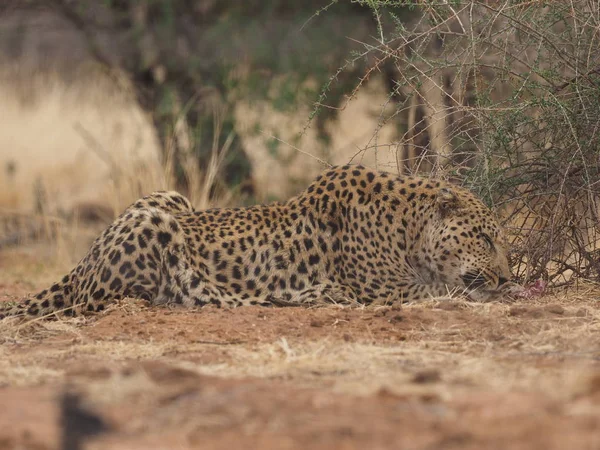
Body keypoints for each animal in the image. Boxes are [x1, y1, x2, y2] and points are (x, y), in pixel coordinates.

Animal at [0, 166, 516, 320]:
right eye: (484, 237)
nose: (505, 276)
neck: (407, 229)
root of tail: (83, 260)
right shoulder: (390, 291)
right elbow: (448, 289)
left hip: (171, 196)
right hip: (155, 222)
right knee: (101, 301)